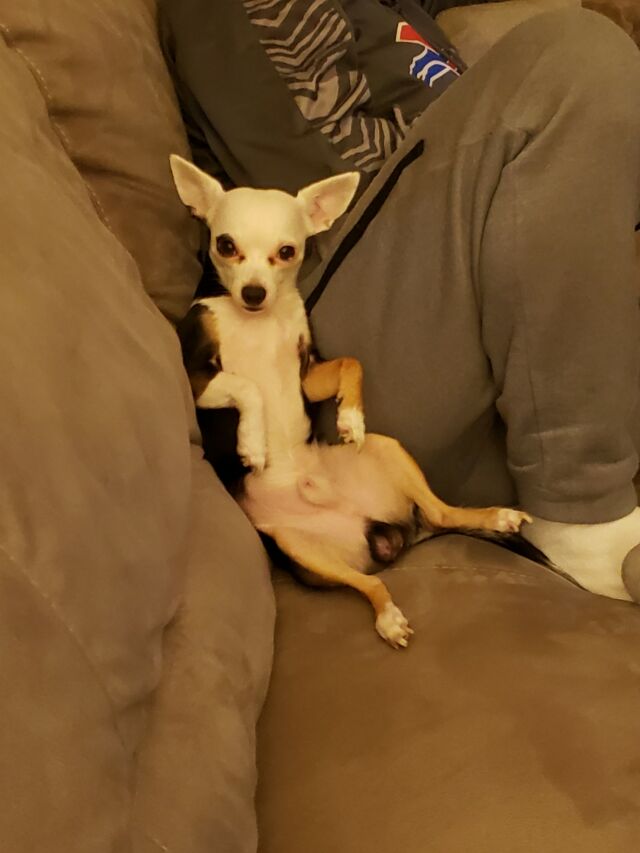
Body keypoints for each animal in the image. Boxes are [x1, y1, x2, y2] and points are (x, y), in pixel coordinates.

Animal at [170, 154, 538, 648]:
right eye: (225, 245)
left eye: (288, 252)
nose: (253, 292)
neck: (257, 321)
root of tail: (388, 531)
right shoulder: (195, 378)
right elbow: (249, 387)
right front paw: (252, 444)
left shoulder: (307, 375)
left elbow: (351, 362)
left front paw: (349, 418)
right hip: (300, 549)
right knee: (373, 583)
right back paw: (389, 617)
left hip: (387, 450)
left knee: (439, 513)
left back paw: (497, 517)